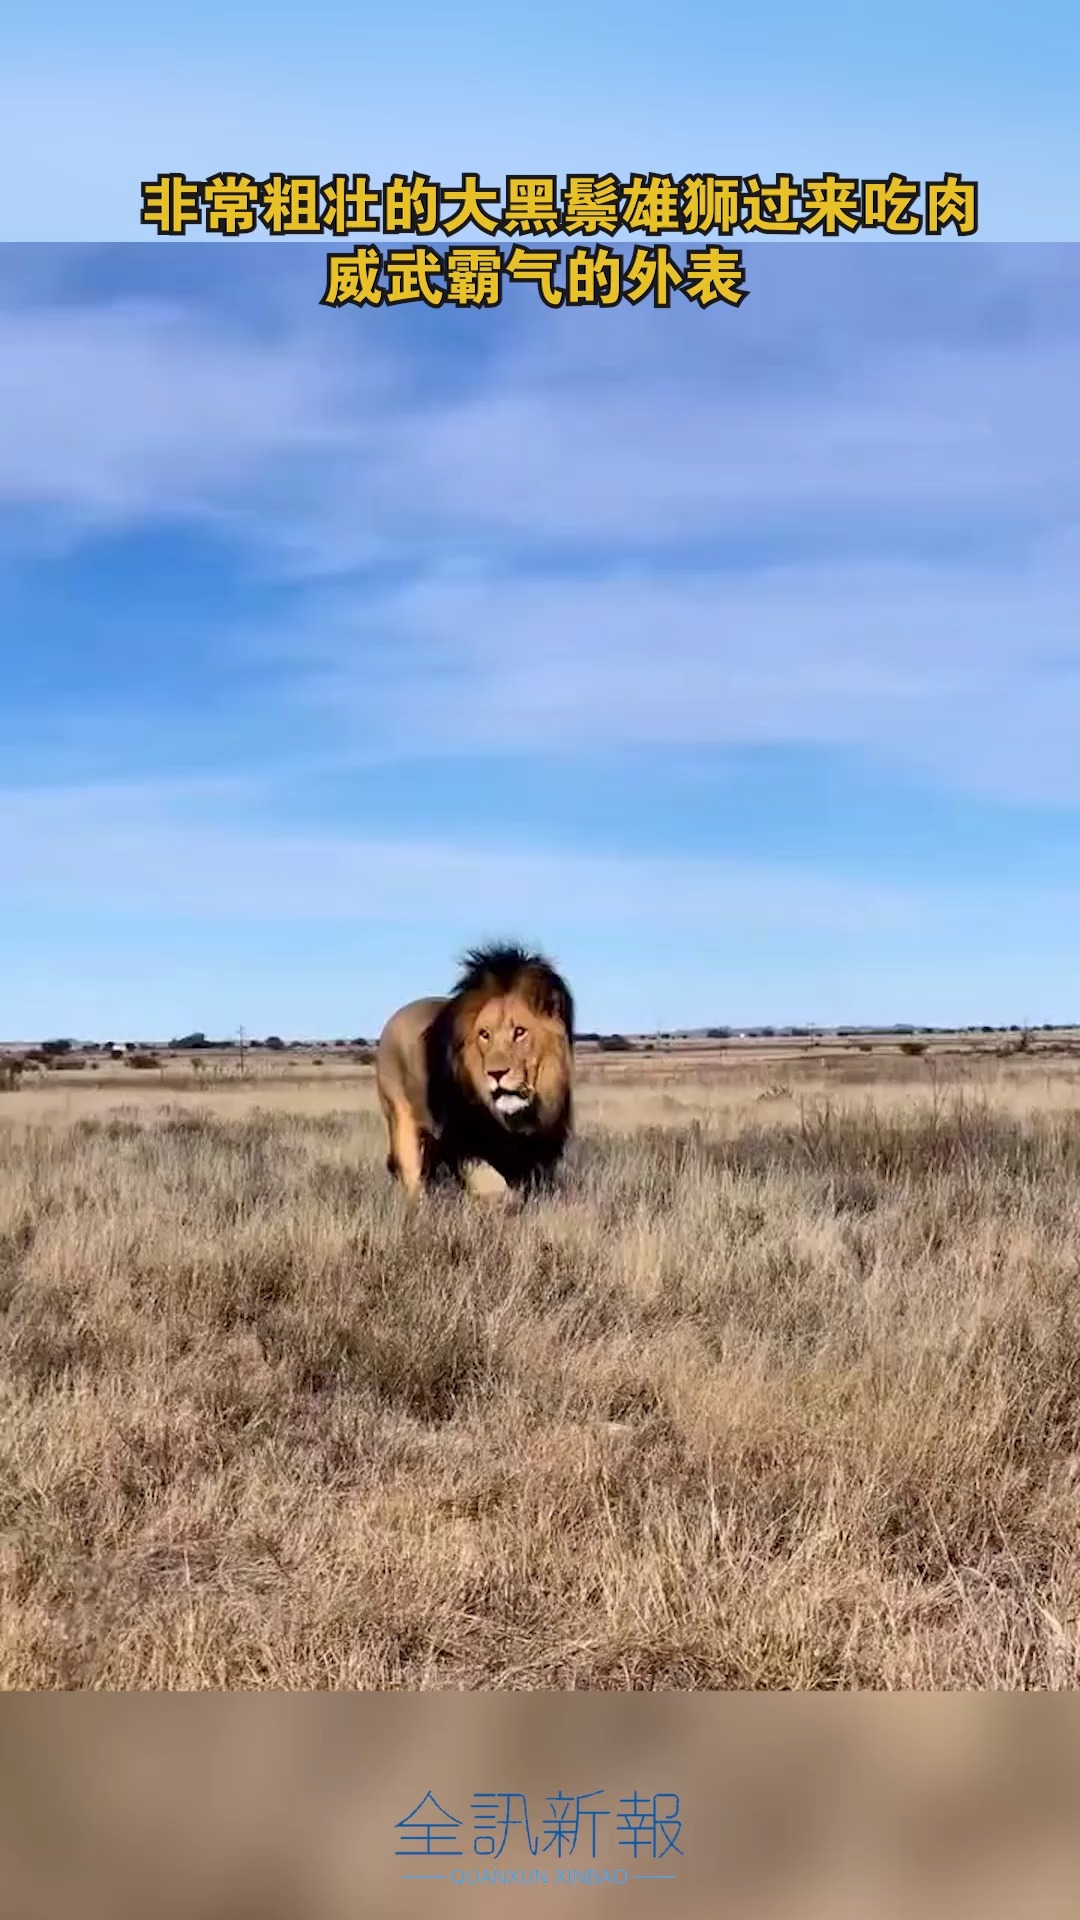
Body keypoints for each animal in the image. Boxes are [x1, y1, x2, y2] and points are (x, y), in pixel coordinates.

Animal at [372, 944, 572, 1198]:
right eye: (484, 1034)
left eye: (520, 1032)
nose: (496, 1074)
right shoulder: (463, 1141)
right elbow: (495, 1186)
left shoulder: (538, 1148)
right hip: (402, 1119)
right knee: (412, 1178)